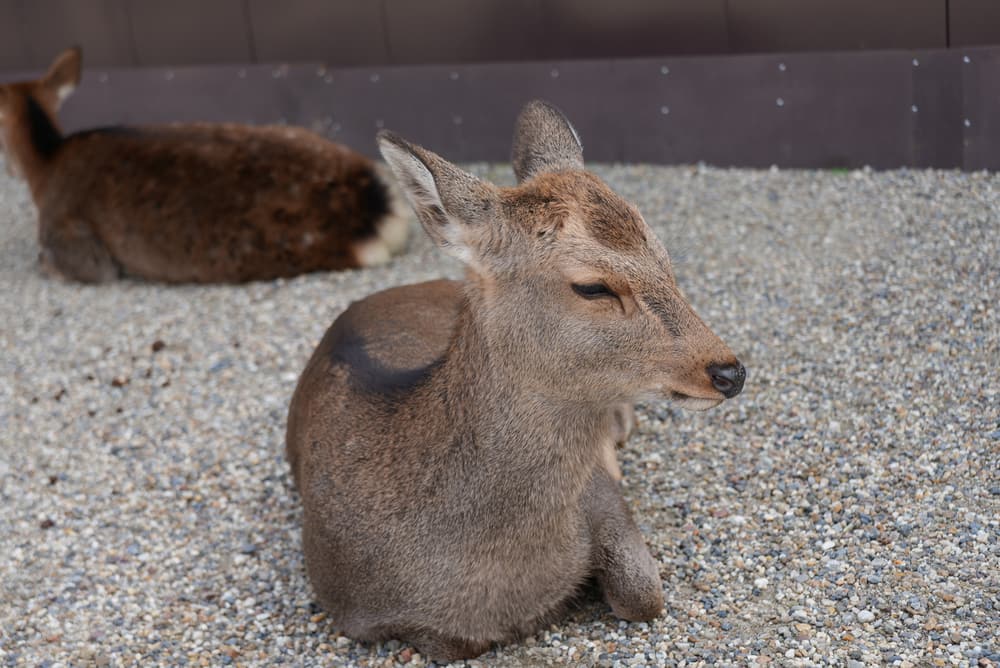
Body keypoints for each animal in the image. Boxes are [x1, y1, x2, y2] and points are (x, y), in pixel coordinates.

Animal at [285, 100, 746, 661]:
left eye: (664, 259)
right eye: (592, 286)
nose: (729, 371)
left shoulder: (598, 496)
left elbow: (643, 595)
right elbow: (449, 644)